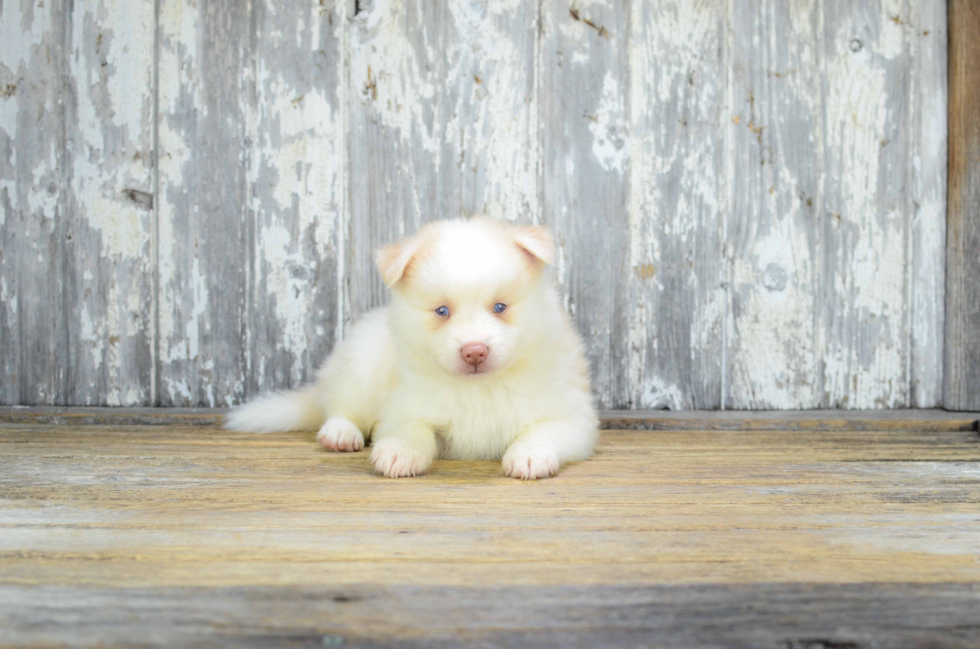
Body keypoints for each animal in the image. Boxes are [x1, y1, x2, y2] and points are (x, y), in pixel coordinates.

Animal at [226, 218, 600, 476]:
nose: (474, 351)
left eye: (500, 307)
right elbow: (412, 430)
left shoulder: (571, 416)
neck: (479, 387)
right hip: (361, 361)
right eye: (442, 311)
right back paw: (340, 433)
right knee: (340, 405)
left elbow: (542, 431)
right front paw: (399, 451)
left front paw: (529, 454)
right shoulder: (408, 405)